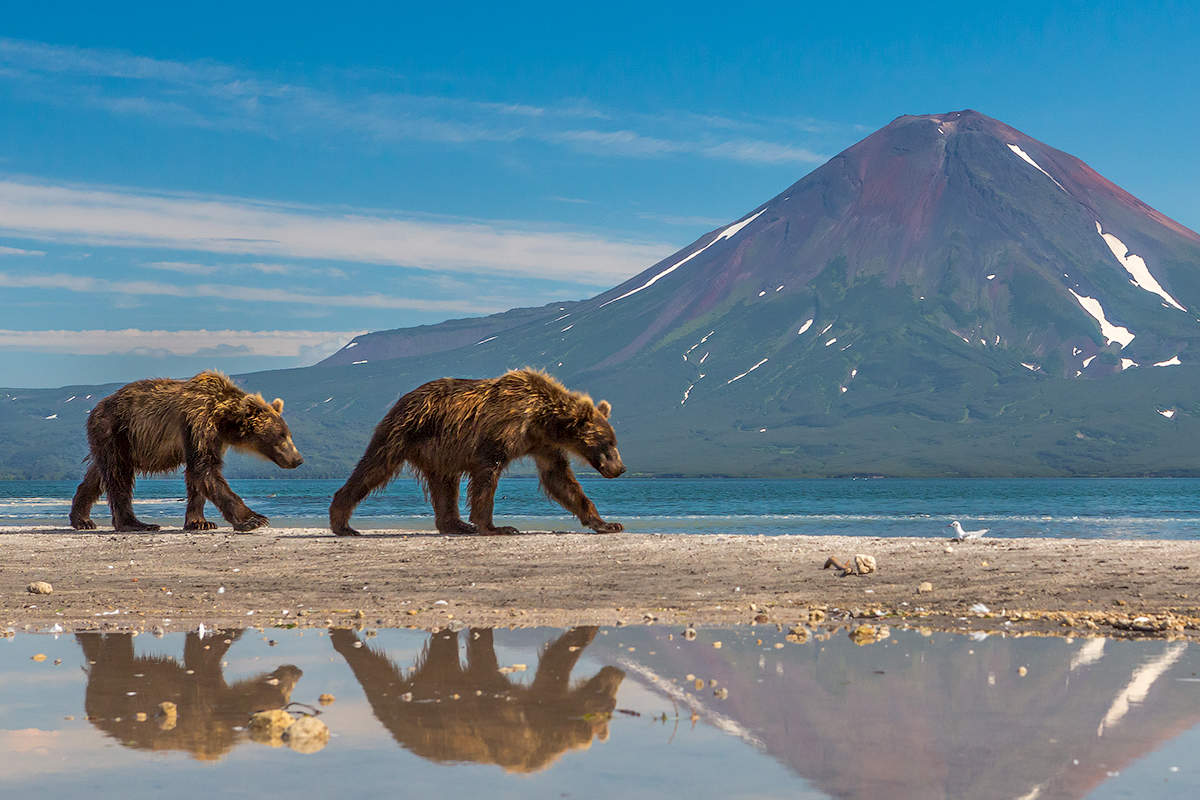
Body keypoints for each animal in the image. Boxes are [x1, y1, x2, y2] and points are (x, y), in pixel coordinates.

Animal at [69, 371, 302, 534]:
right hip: (116, 430)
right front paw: (254, 519)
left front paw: (200, 522)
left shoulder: (213, 438)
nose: (298, 459)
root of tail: (97, 407)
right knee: (119, 475)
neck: (223, 420)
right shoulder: (197, 421)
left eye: (289, 434)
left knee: (98, 474)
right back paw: (135, 523)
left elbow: (197, 476)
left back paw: (82, 519)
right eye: (281, 436)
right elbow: (205, 469)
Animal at [331, 369, 628, 537]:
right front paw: (497, 527)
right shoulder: (501, 431)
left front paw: (607, 524)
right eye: (607, 443)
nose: (621, 468)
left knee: (445, 485)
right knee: (374, 468)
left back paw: (456, 525)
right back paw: (343, 523)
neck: (541, 419)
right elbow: (487, 478)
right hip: (405, 432)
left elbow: (561, 480)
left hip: (439, 451)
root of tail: (403, 398)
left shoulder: (543, 445)